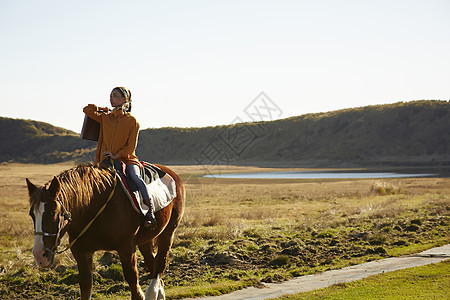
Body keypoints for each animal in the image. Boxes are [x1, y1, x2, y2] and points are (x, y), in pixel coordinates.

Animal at [26, 163, 185, 298]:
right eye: (32, 214)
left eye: (52, 212)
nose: (39, 255)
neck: (91, 207)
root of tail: (173, 175)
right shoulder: (81, 253)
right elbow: (86, 286)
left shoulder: (126, 248)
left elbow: (133, 281)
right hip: (144, 241)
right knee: (152, 263)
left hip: (168, 233)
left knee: (161, 262)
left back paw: (152, 292)